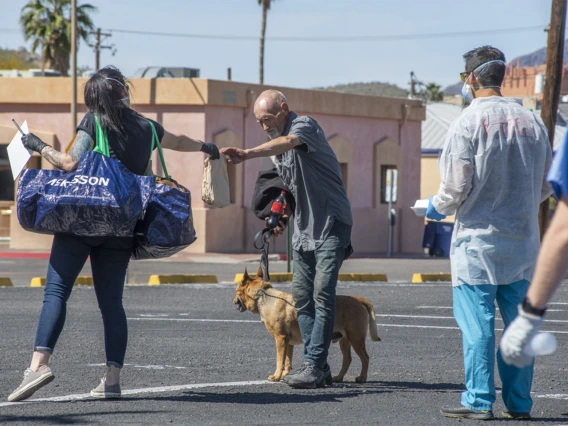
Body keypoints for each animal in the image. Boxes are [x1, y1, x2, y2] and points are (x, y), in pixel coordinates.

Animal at [233, 266, 384, 382]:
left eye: (236, 291)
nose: (234, 301)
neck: (263, 297)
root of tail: (359, 299)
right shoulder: (288, 342)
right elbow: (287, 361)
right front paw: (284, 375)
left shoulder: (280, 339)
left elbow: (279, 360)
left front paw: (276, 376)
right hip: (345, 341)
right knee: (347, 359)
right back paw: (339, 377)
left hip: (356, 338)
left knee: (365, 358)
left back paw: (362, 377)